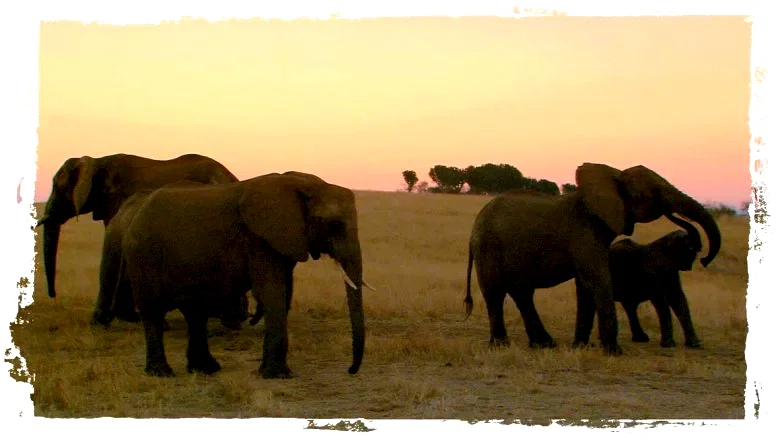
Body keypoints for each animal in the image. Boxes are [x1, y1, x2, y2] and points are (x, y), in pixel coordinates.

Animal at [120, 171, 371, 378]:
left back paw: (206, 369)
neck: (304, 184)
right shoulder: (258, 239)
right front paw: (278, 376)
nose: (350, 370)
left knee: (195, 312)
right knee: (153, 312)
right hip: (143, 256)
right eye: (335, 225)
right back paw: (161, 373)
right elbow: (272, 291)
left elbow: (284, 293)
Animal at [610, 216, 704, 348]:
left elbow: (678, 299)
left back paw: (641, 338)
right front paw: (669, 345)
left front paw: (695, 344)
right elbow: (661, 300)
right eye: (689, 248)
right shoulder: (651, 273)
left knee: (630, 305)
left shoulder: (672, 273)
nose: (699, 251)